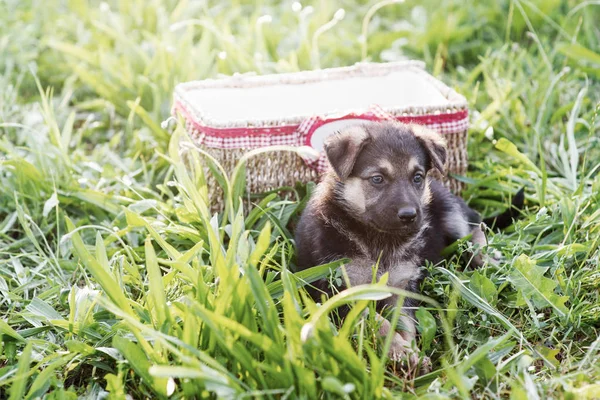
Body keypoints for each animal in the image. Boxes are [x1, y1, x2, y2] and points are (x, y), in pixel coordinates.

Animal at [296, 122, 488, 368]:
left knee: (475, 224)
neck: (379, 238)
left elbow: (405, 323)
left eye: (417, 177)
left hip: (451, 211)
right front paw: (403, 353)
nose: (409, 215)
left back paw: (486, 257)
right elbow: (381, 323)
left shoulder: (401, 285)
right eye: (377, 179)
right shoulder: (341, 292)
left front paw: (409, 353)